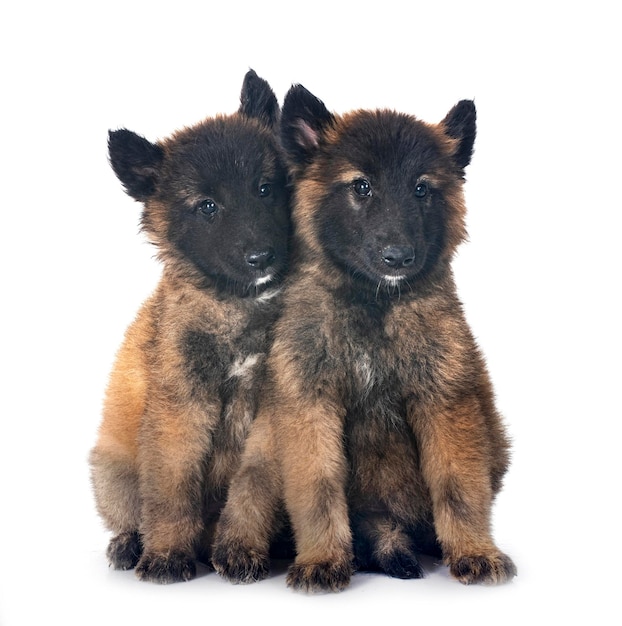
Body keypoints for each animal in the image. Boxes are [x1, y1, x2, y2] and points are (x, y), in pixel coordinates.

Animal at [89, 70, 292, 584]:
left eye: (265, 188)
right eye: (207, 206)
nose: (261, 257)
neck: (238, 307)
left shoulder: (272, 412)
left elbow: (253, 488)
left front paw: (241, 548)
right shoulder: (179, 408)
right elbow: (171, 488)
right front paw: (165, 555)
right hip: (111, 470)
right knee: (128, 514)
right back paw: (130, 545)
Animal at [213, 84, 516, 588]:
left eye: (421, 188)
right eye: (361, 186)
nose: (398, 257)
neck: (373, 307)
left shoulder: (445, 402)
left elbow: (458, 485)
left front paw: (475, 551)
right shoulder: (309, 405)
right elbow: (317, 487)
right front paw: (322, 559)